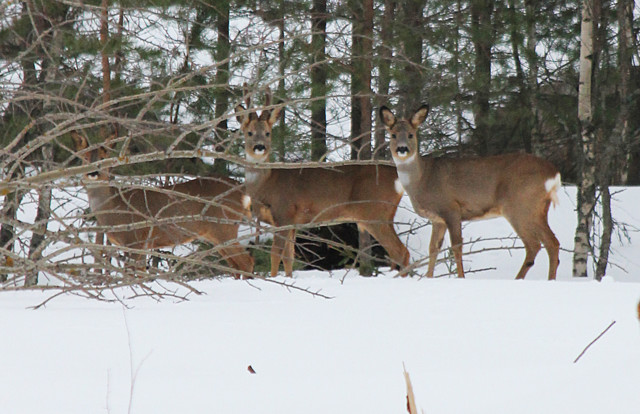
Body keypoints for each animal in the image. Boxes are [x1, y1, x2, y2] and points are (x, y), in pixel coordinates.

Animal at [68, 131, 252, 276]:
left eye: (103, 158)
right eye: (85, 158)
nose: (93, 172)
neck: (113, 209)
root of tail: (242, 190)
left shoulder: (135, 238)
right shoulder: (140, 244)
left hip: (224, 227)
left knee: (246, 261)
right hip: (216, 233)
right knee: (236, 265)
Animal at [235, 87, 410, 276]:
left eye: (268, 133)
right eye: (249, 132)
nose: (259, 147)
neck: (265, 185)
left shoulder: (284, 213)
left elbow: (275, 255)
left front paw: (273, 278)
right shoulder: (292, 223)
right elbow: (289, 257)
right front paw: (288, 278)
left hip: (375, 212)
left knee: (400, 251)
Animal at [380, 106, 560, 282]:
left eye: (411, 134)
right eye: (393, 135)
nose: (402, 149)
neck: (423, 179)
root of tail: (553, 173)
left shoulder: (451, 209)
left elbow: (456, 247)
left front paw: (461, 277)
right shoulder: (437, 219)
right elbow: (433, 248)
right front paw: (429, 278)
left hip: (519, 206)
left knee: (536, 244)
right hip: (538, 208)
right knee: (550, 242)